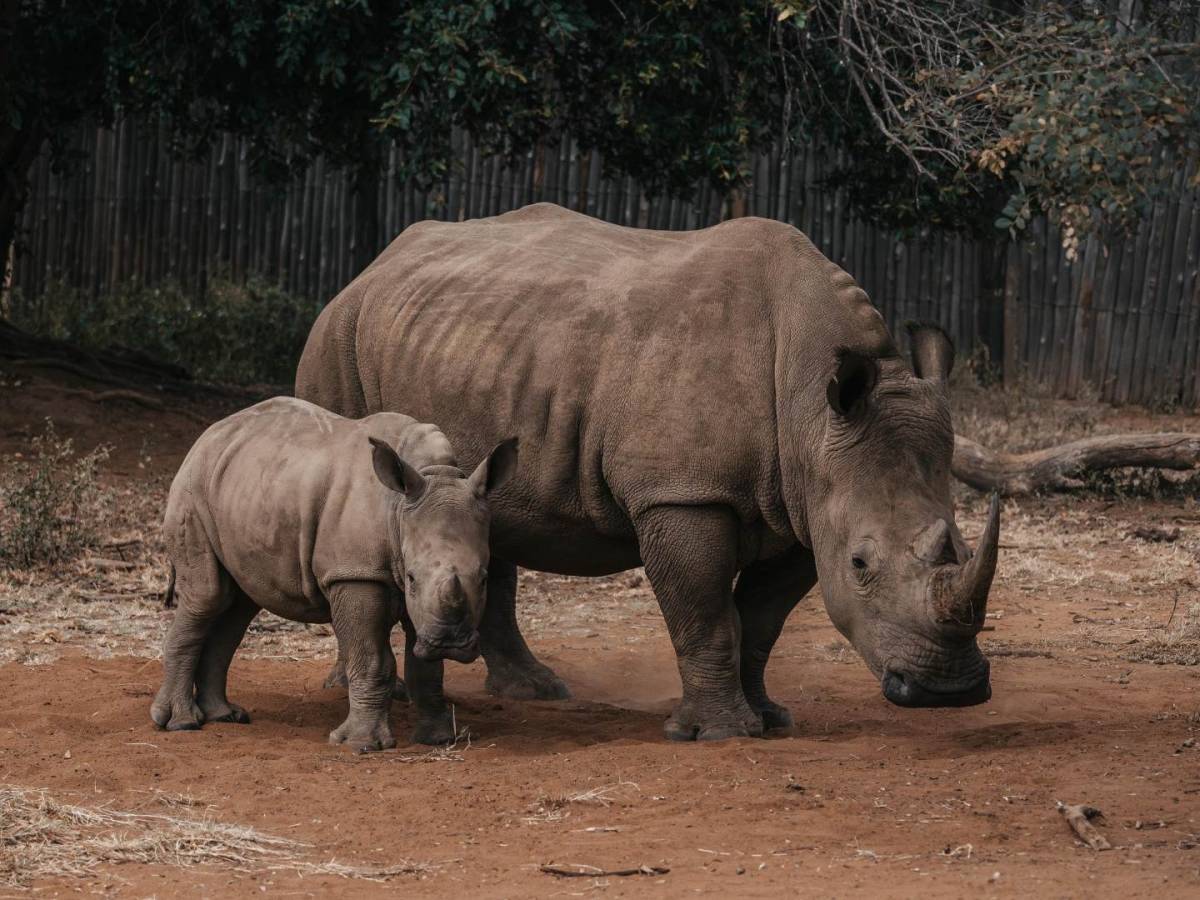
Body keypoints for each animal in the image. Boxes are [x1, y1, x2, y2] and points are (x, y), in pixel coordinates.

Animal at [152, 396, 517, 750]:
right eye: (412, 578)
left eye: (484, 578)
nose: (448, 643)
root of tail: (208, 435)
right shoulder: (356, 572)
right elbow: (370, 659)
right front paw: (361, 744)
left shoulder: (423, 600)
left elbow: (426, 667)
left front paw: (440, 739)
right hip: (192, 490)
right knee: (209, 596)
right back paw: (181, 723)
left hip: (242, 489)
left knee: (238, 605)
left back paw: (226, 716)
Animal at [295, 203, 1000, 741]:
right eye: (862, 564)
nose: (948, 689)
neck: (811, 408)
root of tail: (372, 266)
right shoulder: (682, 496)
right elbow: (705, 613)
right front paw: (721, 733)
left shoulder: (805, 507)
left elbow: (762, 620)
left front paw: (770, 719)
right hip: (336, 339)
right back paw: (357, 687)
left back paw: (537, 692)